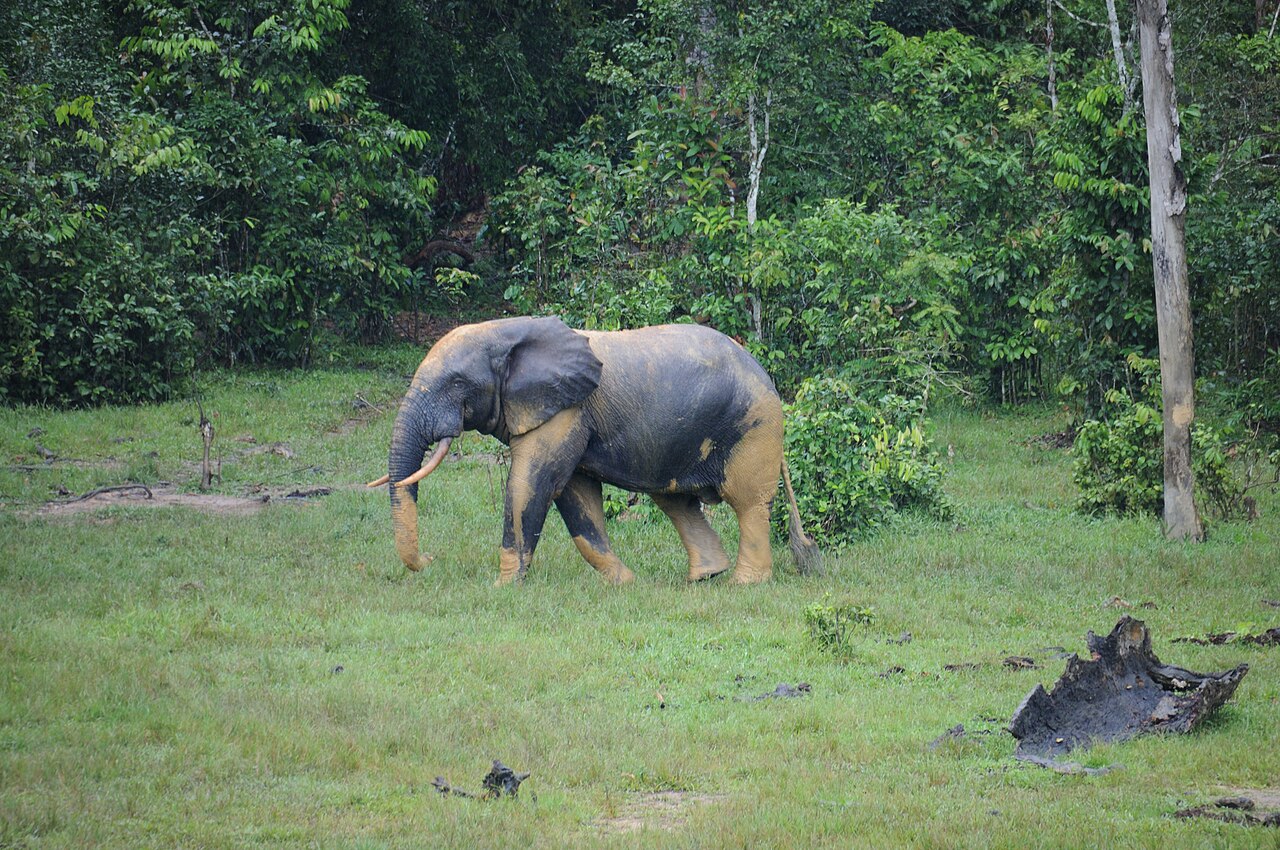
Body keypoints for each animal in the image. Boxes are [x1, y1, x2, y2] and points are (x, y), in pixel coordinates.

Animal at [368, 316, 820, 585]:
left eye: (457, 384)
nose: (430, 559)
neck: (508, 330)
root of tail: (766, 376)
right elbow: (575, 495)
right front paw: (624, 584)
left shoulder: (566, 411)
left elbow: (531, 486)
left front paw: (503, 588)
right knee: (677, 501)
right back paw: (704, 579)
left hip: (754, 427)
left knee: (748, 503)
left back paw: (744, 584)